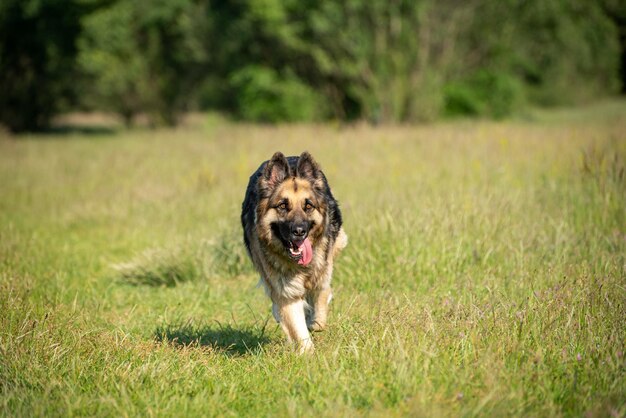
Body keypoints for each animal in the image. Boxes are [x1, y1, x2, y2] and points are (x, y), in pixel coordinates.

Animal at [240, 150, 346, 352]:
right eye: (282, 206)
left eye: (308, 206)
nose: (299, 231)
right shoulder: (285, 291)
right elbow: (297, 327)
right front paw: (307, 352)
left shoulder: (321, 272)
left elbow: (320, 303)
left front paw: (315, 321)